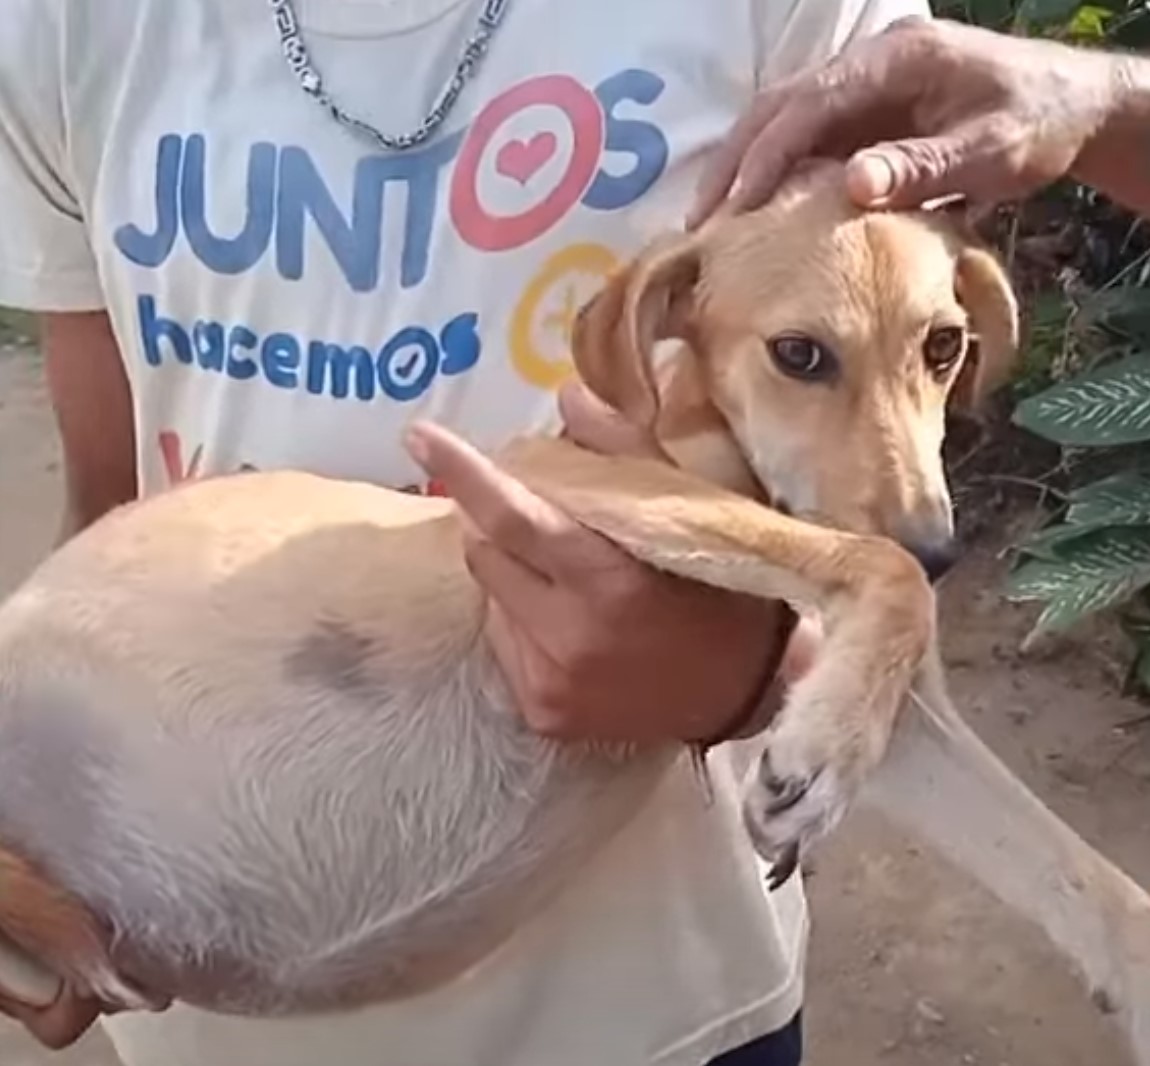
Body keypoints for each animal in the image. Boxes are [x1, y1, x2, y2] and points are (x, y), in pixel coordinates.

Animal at [0, 162, 1145, 1062]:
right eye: (799, 354)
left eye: (943, 347)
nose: (943, 551)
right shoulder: (556, 480)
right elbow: (874, 568)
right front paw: (818, 751)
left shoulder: (896, 713)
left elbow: (1098, 893)